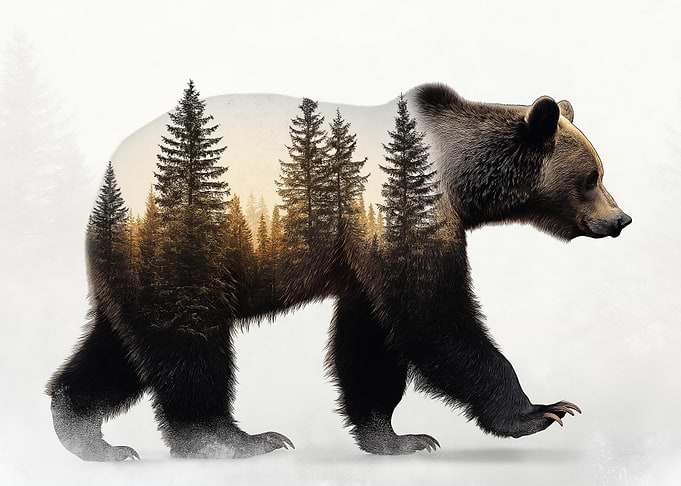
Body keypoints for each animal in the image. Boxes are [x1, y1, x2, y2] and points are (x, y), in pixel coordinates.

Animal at [46, 83, 631, 460]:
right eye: (591, 176)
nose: (620, 219)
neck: (457, 171)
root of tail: (105, 188)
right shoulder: (401, 208)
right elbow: (434, 319)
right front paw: (543, 410)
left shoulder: (364, 249)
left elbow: (371, 336)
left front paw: (395, 437)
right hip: (188, 240)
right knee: (188, 342)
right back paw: (232, 441)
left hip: (137, 262)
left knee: (123, 347)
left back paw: (85, 431)